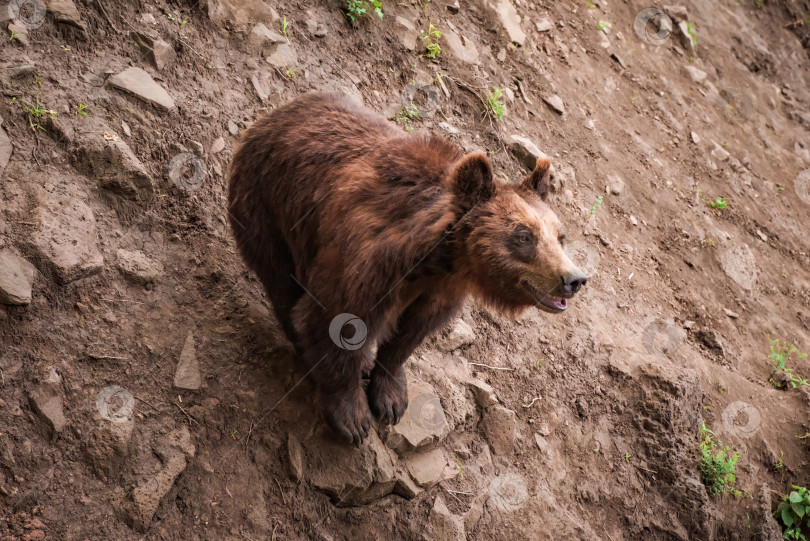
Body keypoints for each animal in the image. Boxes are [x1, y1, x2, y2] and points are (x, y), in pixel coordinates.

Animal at [227, 93, 588, 446]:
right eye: (524, 236)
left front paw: (390, 397)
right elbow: (334, 321)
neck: (434, 261)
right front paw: (351, 417)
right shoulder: (364, 265)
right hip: (268, 205)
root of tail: (281, 112)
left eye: (560, 236)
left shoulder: (441, 290)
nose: (574, 279)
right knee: (281, 282)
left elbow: (413, 333)